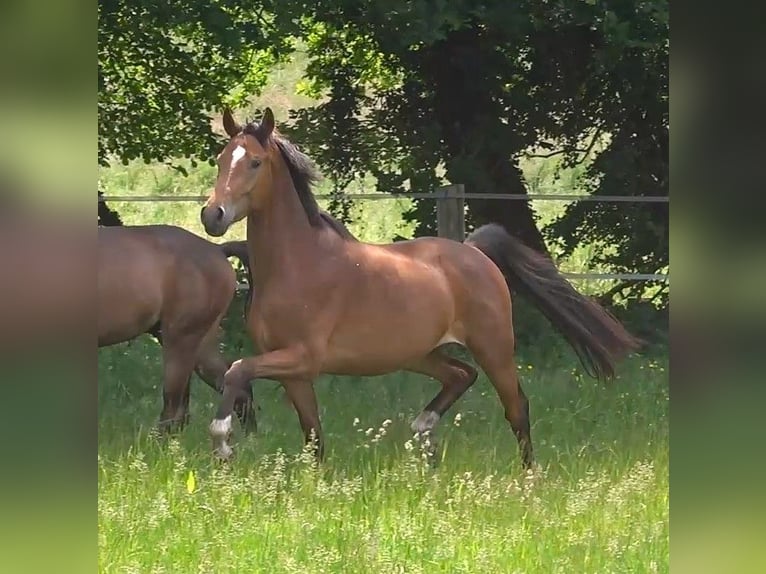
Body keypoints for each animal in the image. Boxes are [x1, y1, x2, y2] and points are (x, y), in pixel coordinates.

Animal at [198, 108, 642, 467]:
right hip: (418, 353)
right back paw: (424, 431)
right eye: (220, 159)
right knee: (461, 375)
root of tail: (474, 251)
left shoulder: (302, 358)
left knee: (517, 407)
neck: (298, 265)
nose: (212, 216)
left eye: (255, 162)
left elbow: (238, 370)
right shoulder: (294, 373)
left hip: (494, 346)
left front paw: (223, 444)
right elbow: (314, 438)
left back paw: (526, 480)